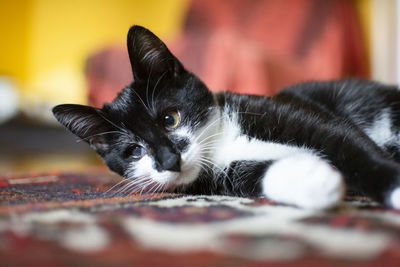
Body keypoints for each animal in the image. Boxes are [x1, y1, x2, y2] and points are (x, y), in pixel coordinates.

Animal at [51, 25, 400, 210]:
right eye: (134, 151)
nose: (169, 161)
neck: (221, 142)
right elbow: (261, 175)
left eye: (170, 119)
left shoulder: (291, 112)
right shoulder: (225, 176)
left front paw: (393, 187)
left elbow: (344, 141)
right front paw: (315, 181)